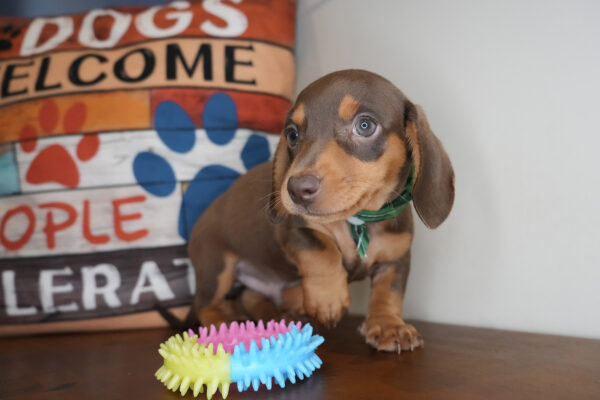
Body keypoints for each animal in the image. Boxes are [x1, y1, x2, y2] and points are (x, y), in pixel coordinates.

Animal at [185, 69, 452, 354]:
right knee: (206, 305)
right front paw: (328, 298)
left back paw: (276, 314)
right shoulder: (296, 231)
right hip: (217, 266)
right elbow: (323, 249)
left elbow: (389, 291)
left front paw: (388, 325)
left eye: (365, 126)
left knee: (250, 295)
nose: (296, 189)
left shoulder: (396, 257)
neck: (359, 220)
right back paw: (225, 326)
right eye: (292, 134)